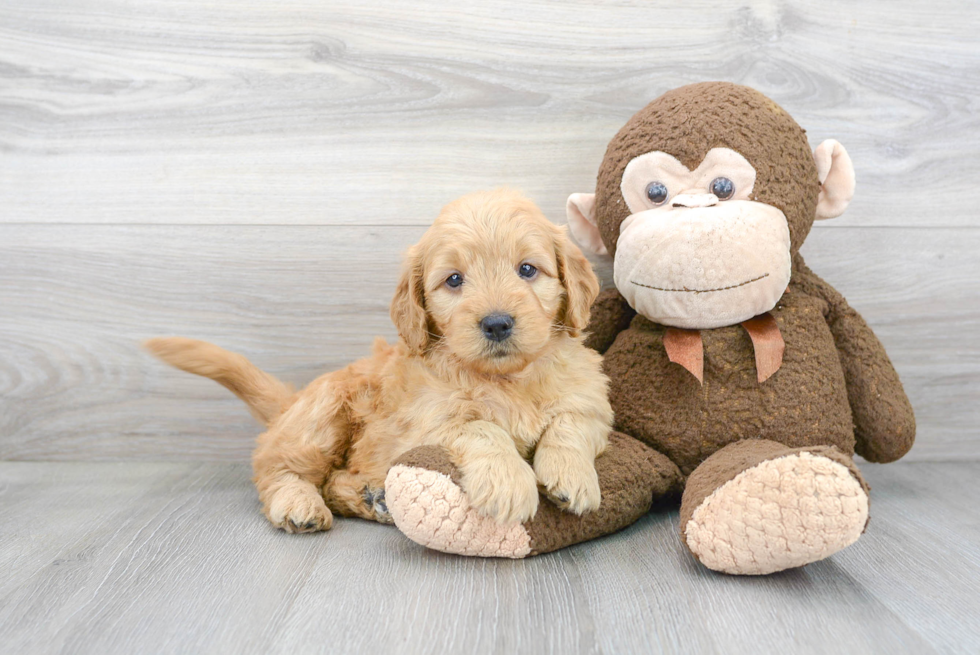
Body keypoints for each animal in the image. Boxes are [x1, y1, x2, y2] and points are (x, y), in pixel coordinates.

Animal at [144, 188, 612, 532]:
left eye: (528, 270)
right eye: (454, 280)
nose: (497, 324)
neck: (507, 379)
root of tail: (291, 404)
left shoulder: (592, 401)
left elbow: (570, 423)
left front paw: (571, 475)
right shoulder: (425, 423)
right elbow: (481, 427)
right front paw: (509, 482)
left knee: (331, 480)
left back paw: (374, 498)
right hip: (324, 414)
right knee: (276, 467)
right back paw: (299, 504)